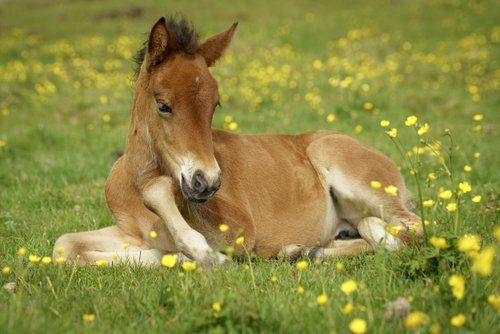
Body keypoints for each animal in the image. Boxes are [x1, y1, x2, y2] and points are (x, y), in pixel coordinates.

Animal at [53, 17, 422, 266]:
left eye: (215, 105)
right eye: (163, 105)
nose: (207, 181)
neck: (136, 181)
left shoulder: (239, 229)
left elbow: (162, 198)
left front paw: (202, 254)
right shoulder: (129, 233)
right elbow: (64, 245)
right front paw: (182, 257)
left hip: (343, 165)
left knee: (409, 227)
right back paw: (305, 249)